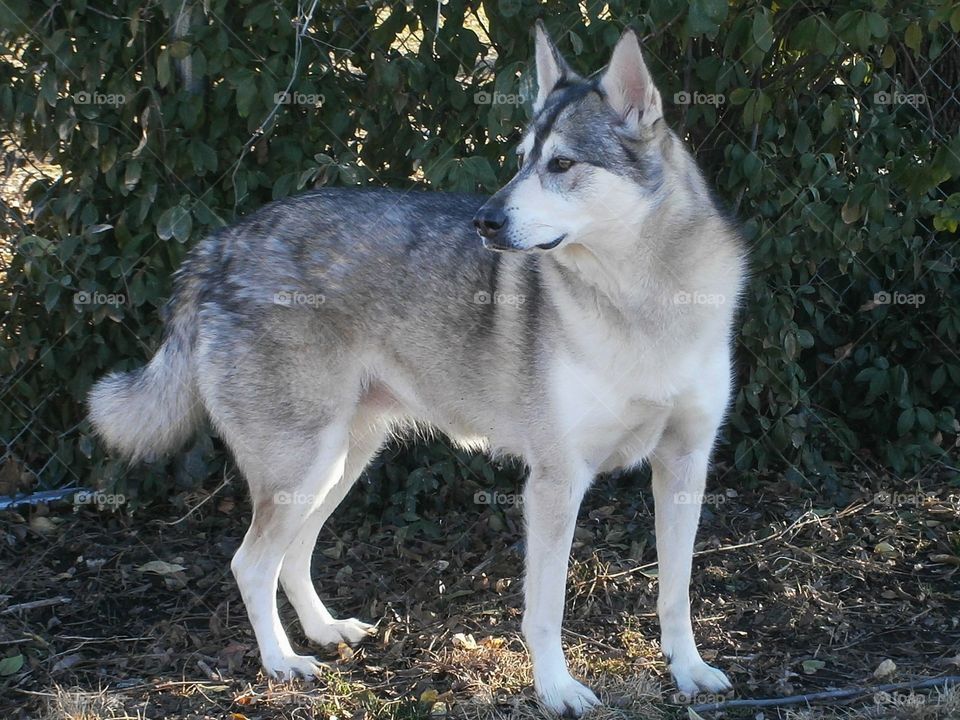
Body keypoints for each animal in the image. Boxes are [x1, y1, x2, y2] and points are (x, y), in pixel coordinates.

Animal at [89, 22, 745, 715]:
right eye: (520, 160)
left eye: (561, 165)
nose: (485, 220)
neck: (644, 301)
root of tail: (219, 246)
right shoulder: (556, 482)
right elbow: (545, 612)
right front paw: (557, 690)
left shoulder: (684, 466)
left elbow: (676, 594)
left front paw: (688, 670)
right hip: (306, 466)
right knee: (251, 563)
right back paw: (282, 662)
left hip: (339, 464)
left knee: (290, 557)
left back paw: (325, 631)